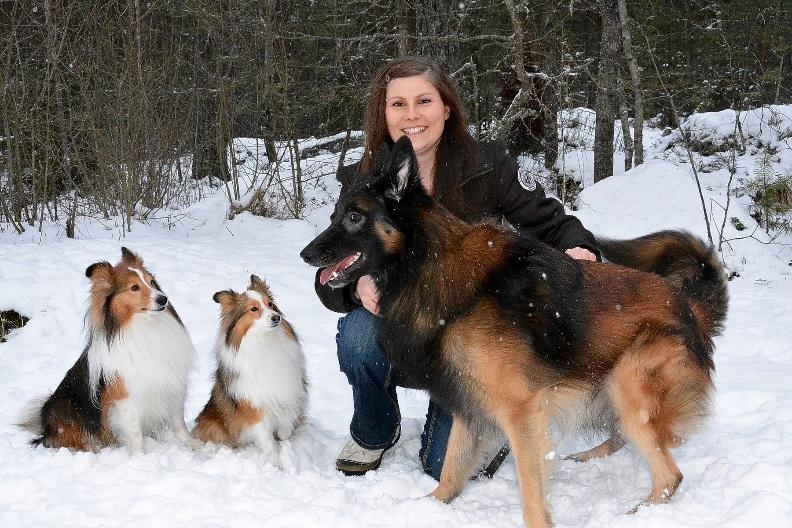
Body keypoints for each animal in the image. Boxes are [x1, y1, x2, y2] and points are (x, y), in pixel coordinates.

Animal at [300, 137, 728, 528]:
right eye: (335, 214)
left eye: (354, 217)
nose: (305, 255)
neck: (427, 264)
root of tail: (686, 305)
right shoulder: (468, 402)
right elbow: (451, 468)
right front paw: (428, 508)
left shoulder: (521, 410)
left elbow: (530, 488)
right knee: (627, 438)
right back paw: (588, 457)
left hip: (628, 384)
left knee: (669, 474)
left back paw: (638, 515)